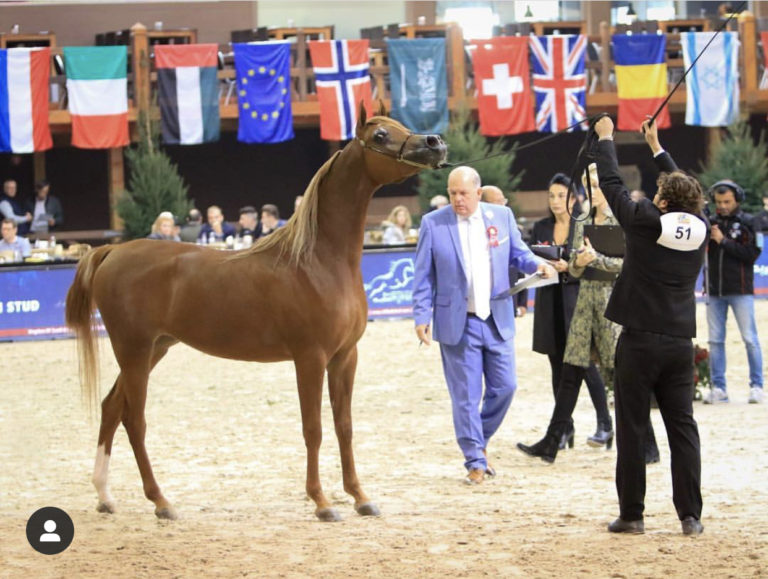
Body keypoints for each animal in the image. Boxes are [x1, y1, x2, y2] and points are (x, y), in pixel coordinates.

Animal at [67, 103, 450, 520]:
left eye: (400, 125)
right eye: (380, 135)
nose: (435, 143)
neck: (319, 261)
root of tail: (112, 251)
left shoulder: (345, 356)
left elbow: (344, 426)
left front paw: (360, 497)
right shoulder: (310, 357)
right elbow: (313, 428)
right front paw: (321, 502)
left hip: (154, 349)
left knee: (111, 407)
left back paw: (105, 496)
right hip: (134, 351)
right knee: (134, 419)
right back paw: (161, 502)